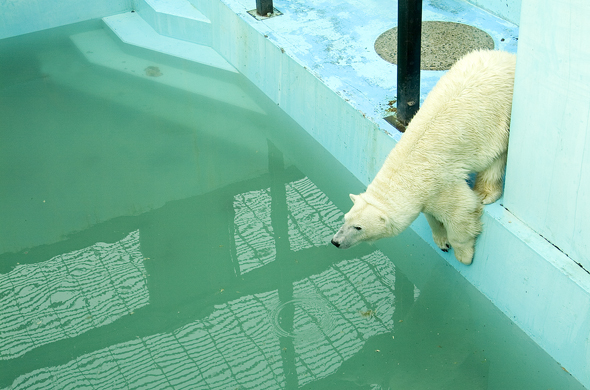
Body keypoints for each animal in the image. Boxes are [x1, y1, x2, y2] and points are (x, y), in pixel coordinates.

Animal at [332, 48, 520, 262]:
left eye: (358, 227)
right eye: (345, 218)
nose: (336, 241)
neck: (407, 171)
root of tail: (509, 58)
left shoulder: (442, 182)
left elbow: (461, 211)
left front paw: (463, 255)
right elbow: (432, 215)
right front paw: (442, 241)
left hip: (501, 117)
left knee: (496, 157)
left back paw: (485, 194)